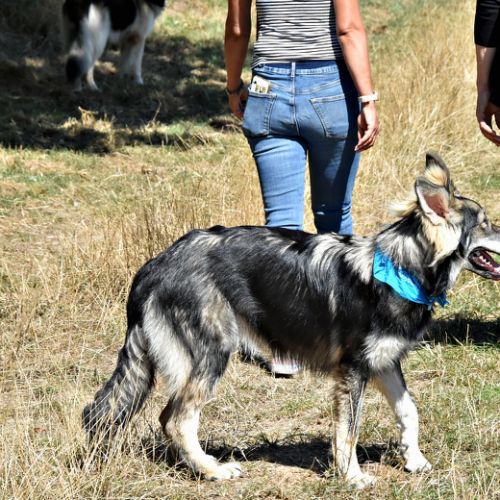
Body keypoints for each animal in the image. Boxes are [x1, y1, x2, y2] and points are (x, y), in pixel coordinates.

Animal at [82, 152, 500, 488]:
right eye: (485, 223)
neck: (399, 269)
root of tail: (154, 265)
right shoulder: (354, 371)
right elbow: (348, 430)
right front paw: (352, 476)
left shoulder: (384, 362)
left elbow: (409, 411)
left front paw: (414, 459)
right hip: (212, 354)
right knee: (177, 418)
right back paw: (213, 470)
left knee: (167, 415)